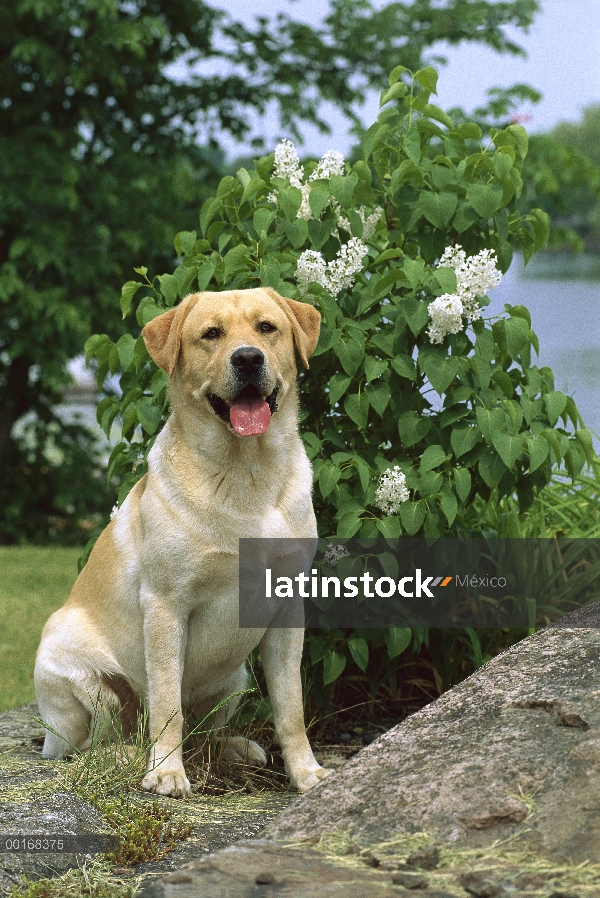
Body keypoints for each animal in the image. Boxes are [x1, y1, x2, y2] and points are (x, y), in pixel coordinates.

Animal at [32, 286, 332, 792]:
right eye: (211, 334)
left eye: (266, 328)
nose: (248, 357)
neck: (246, 473)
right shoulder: (166, 606)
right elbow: (167, 703)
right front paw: (167, 773)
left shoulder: (287, 612)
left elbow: (291, 707)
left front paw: (306, 772)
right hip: (78, 677)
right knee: (90, 745)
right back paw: (126, 756)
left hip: (234, 677)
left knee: (204, 735)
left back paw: (233, 748)